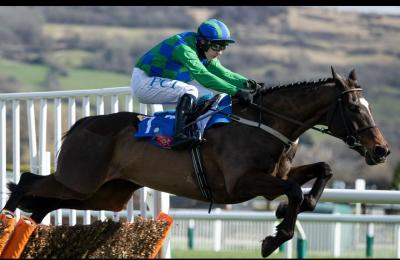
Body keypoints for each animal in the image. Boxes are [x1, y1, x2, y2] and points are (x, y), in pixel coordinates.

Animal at [1, 67, 390, 256]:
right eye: (353, 107)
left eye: (368, 105)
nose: (381, 150)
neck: (265, 123)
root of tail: (80, 124)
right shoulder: (241, 183)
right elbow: (293, 191)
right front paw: (276, 235)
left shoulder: (274, 175)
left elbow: (320, 172)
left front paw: (287, 214)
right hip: (79, 180)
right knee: (27, 180)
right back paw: (8, 219)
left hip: (104, 194)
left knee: (46, 202)